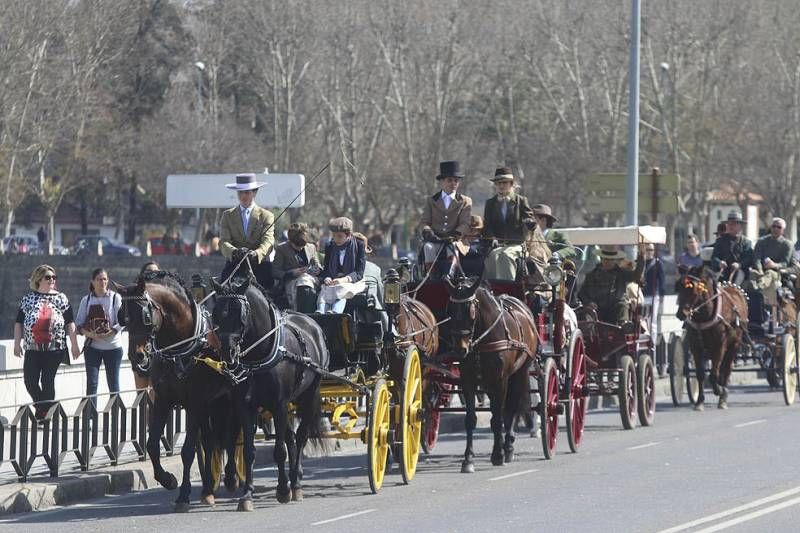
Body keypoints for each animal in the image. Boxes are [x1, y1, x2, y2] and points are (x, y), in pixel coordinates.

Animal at [115, 272, 239, 510]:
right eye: (123, 317)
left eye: (145, 316)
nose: (137, 356)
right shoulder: (163, 400)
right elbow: (152, 444)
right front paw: (167, 480)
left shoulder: (195, 402)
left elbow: (188, 450)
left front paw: (183, 494)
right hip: (211, 404)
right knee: (210, 441)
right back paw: (208, 489)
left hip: (227, 400)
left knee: (231, 436)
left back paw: (231, 478)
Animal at [211, 272, 330, 510]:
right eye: (216, 314)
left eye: (239, 313)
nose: (227, 353)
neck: (259, 353)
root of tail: (313, 323)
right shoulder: (245, 406)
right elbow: (249, 452)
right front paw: (247, 495)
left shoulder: (279, 404)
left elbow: (279, 450)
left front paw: (283, 490)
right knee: (291, 438)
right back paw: (294, 477)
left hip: (308, 395)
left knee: (300, 437)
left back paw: (296, 484)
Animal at [444, 274, 536, 470]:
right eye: (450, 310)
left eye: (470, 311)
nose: (460, 349)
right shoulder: (468, 381)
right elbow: (470, 419)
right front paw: (468, 459)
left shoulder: (500, 380)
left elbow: (498, 418)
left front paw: (498, 454)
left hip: (520, 372)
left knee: (510, 408)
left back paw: (507, 447)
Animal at [680, 264, 748, 408]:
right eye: (678, 288)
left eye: (694, 290)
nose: (681, 313)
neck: (704, 317)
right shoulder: (695, 346)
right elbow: (700, 374)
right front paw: (699, 401)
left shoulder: (720, 345)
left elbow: (714, 374)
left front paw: (720, 391)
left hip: (734, 344)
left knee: (726, 369)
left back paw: (723, 396)